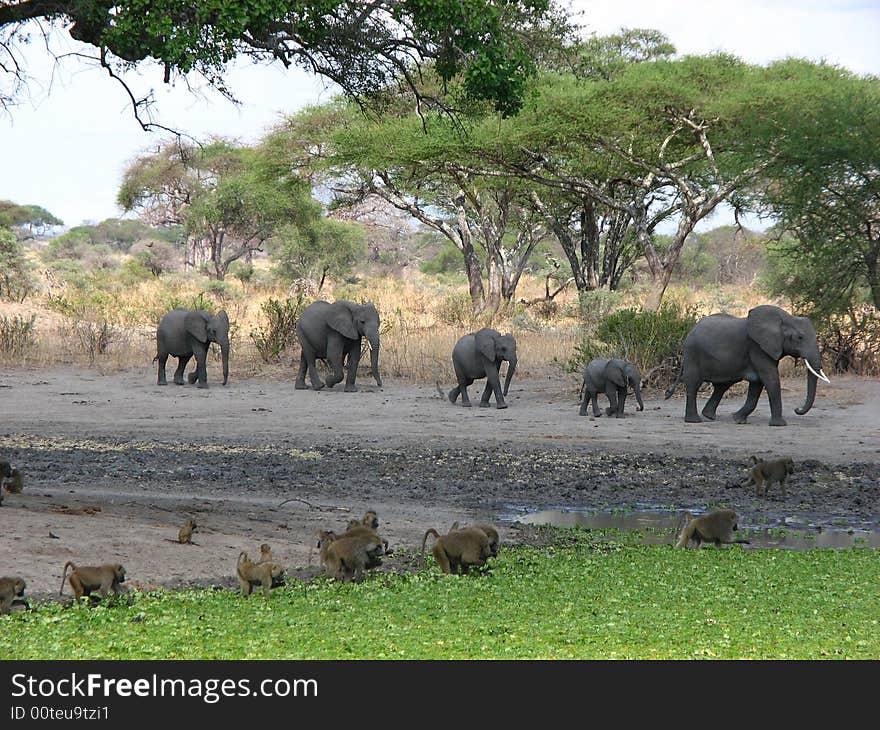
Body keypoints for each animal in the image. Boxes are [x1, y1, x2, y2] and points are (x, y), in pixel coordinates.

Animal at [672, 302, 828, 426]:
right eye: (800, 337)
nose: (797, 409)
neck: (786, 318)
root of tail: (690, 330)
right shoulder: (757, 347)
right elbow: (770, 379)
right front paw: (779, 424)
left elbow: (757, 384)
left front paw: (738, 420)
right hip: (693, 353)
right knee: (694, 383)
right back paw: (694, 421)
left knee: (722, 386)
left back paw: (709, 416)